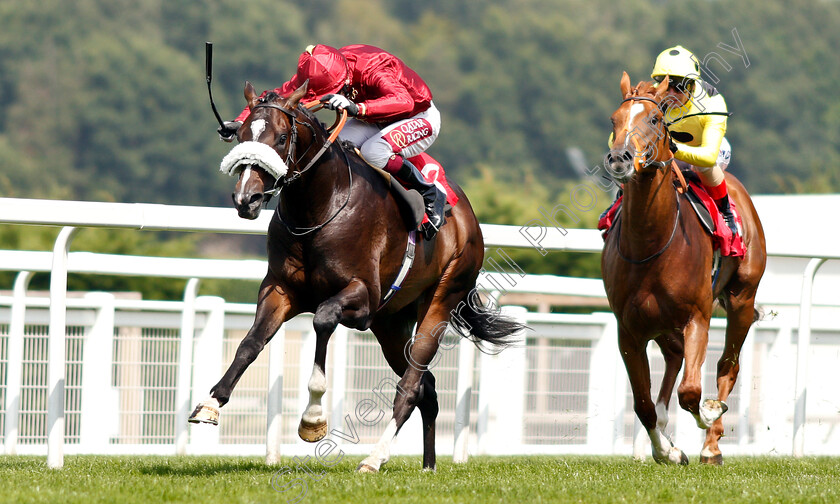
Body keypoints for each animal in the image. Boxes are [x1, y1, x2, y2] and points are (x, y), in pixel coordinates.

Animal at [187, 81, 520, 472]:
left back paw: (374, 458)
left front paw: (313, 419)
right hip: (391, 324)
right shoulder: (280, 290)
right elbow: (250, 344)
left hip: (441, 299)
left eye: (282, 137)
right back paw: (428, 464)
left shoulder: (362, 299)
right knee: (429, 388)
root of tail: (468, 216)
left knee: (411, 386)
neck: (320, 207)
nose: (246, 199)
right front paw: (210, 403)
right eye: (240, 135)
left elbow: (322, 318)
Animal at [600, 73, 764, 466]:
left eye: (655, 119)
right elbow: (643, 405)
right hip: (660, 323)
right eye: (614, 120)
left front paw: (709, 412)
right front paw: (668, 451)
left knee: (727, 366)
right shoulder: (629, 330)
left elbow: (691, 391)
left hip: (742, 299)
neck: (650, 244)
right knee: (673, 359)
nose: (619, 159)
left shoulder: (697, 317)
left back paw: (711, 445)